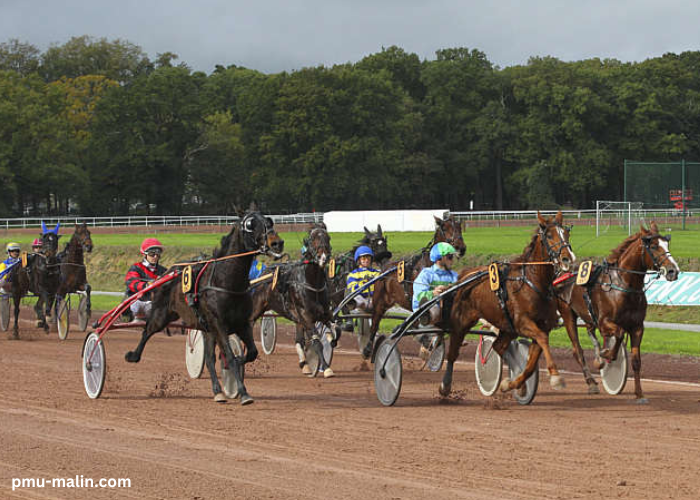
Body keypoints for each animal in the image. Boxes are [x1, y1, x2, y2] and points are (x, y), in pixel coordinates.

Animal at [123, 205, 284, 404]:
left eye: (269, 221)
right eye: (250, 224)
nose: (277, 243)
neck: (225, 282)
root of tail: (166, 274)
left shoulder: (241, 324)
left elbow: (251, 353)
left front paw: (234, 369)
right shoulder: (219, 324)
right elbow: (230, 356)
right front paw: (243, 392)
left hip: (206, 329)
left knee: (208, 358)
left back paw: (218, 391)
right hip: (162, 315)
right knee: (147, 331)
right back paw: (133, 355)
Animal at [249, 223, 334, 376]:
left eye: (328, 237)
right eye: (312, 239)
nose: (323, 257)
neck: (312, 284)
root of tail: (264, 272)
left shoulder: (324, 314)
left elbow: (336, 331)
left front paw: (331, 339)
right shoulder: (306, 316)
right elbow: (317, 342)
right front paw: (326, 368)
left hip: (297, 318)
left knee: (298, 340)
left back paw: (304, 364)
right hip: (257, 306)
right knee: (249, 322)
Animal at [360, 215, 464, 360]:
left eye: (459, 226)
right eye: (445, 227)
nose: (461, 247)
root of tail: (385, 268)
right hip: (380, 302)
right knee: (375, 323)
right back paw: (368, 349)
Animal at [440, 211, 576, 398]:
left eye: (566, 233)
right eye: (549, 235)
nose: (567, 259)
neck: (532, 282)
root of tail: (465, 274)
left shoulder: (541, 325)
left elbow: (532, 361)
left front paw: (514, 384)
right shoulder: (522, 322)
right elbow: (542, 338)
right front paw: (556, 377)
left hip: (507, 327)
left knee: (498, 346)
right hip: (462, 322)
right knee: (453, 353)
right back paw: (445, 385)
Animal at [556, 223, 680, 402]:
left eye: (667, 244)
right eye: (654, 246)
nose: (673, 271)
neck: (623, 285)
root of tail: (563, 272)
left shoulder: (637, 327)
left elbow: (636, 361)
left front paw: (639, 393)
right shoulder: (605, 322)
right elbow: (619, 335)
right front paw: (607, 354)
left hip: (587, 315)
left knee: (590, 331)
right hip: (568, 315)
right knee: (577, 350)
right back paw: (591, 382)